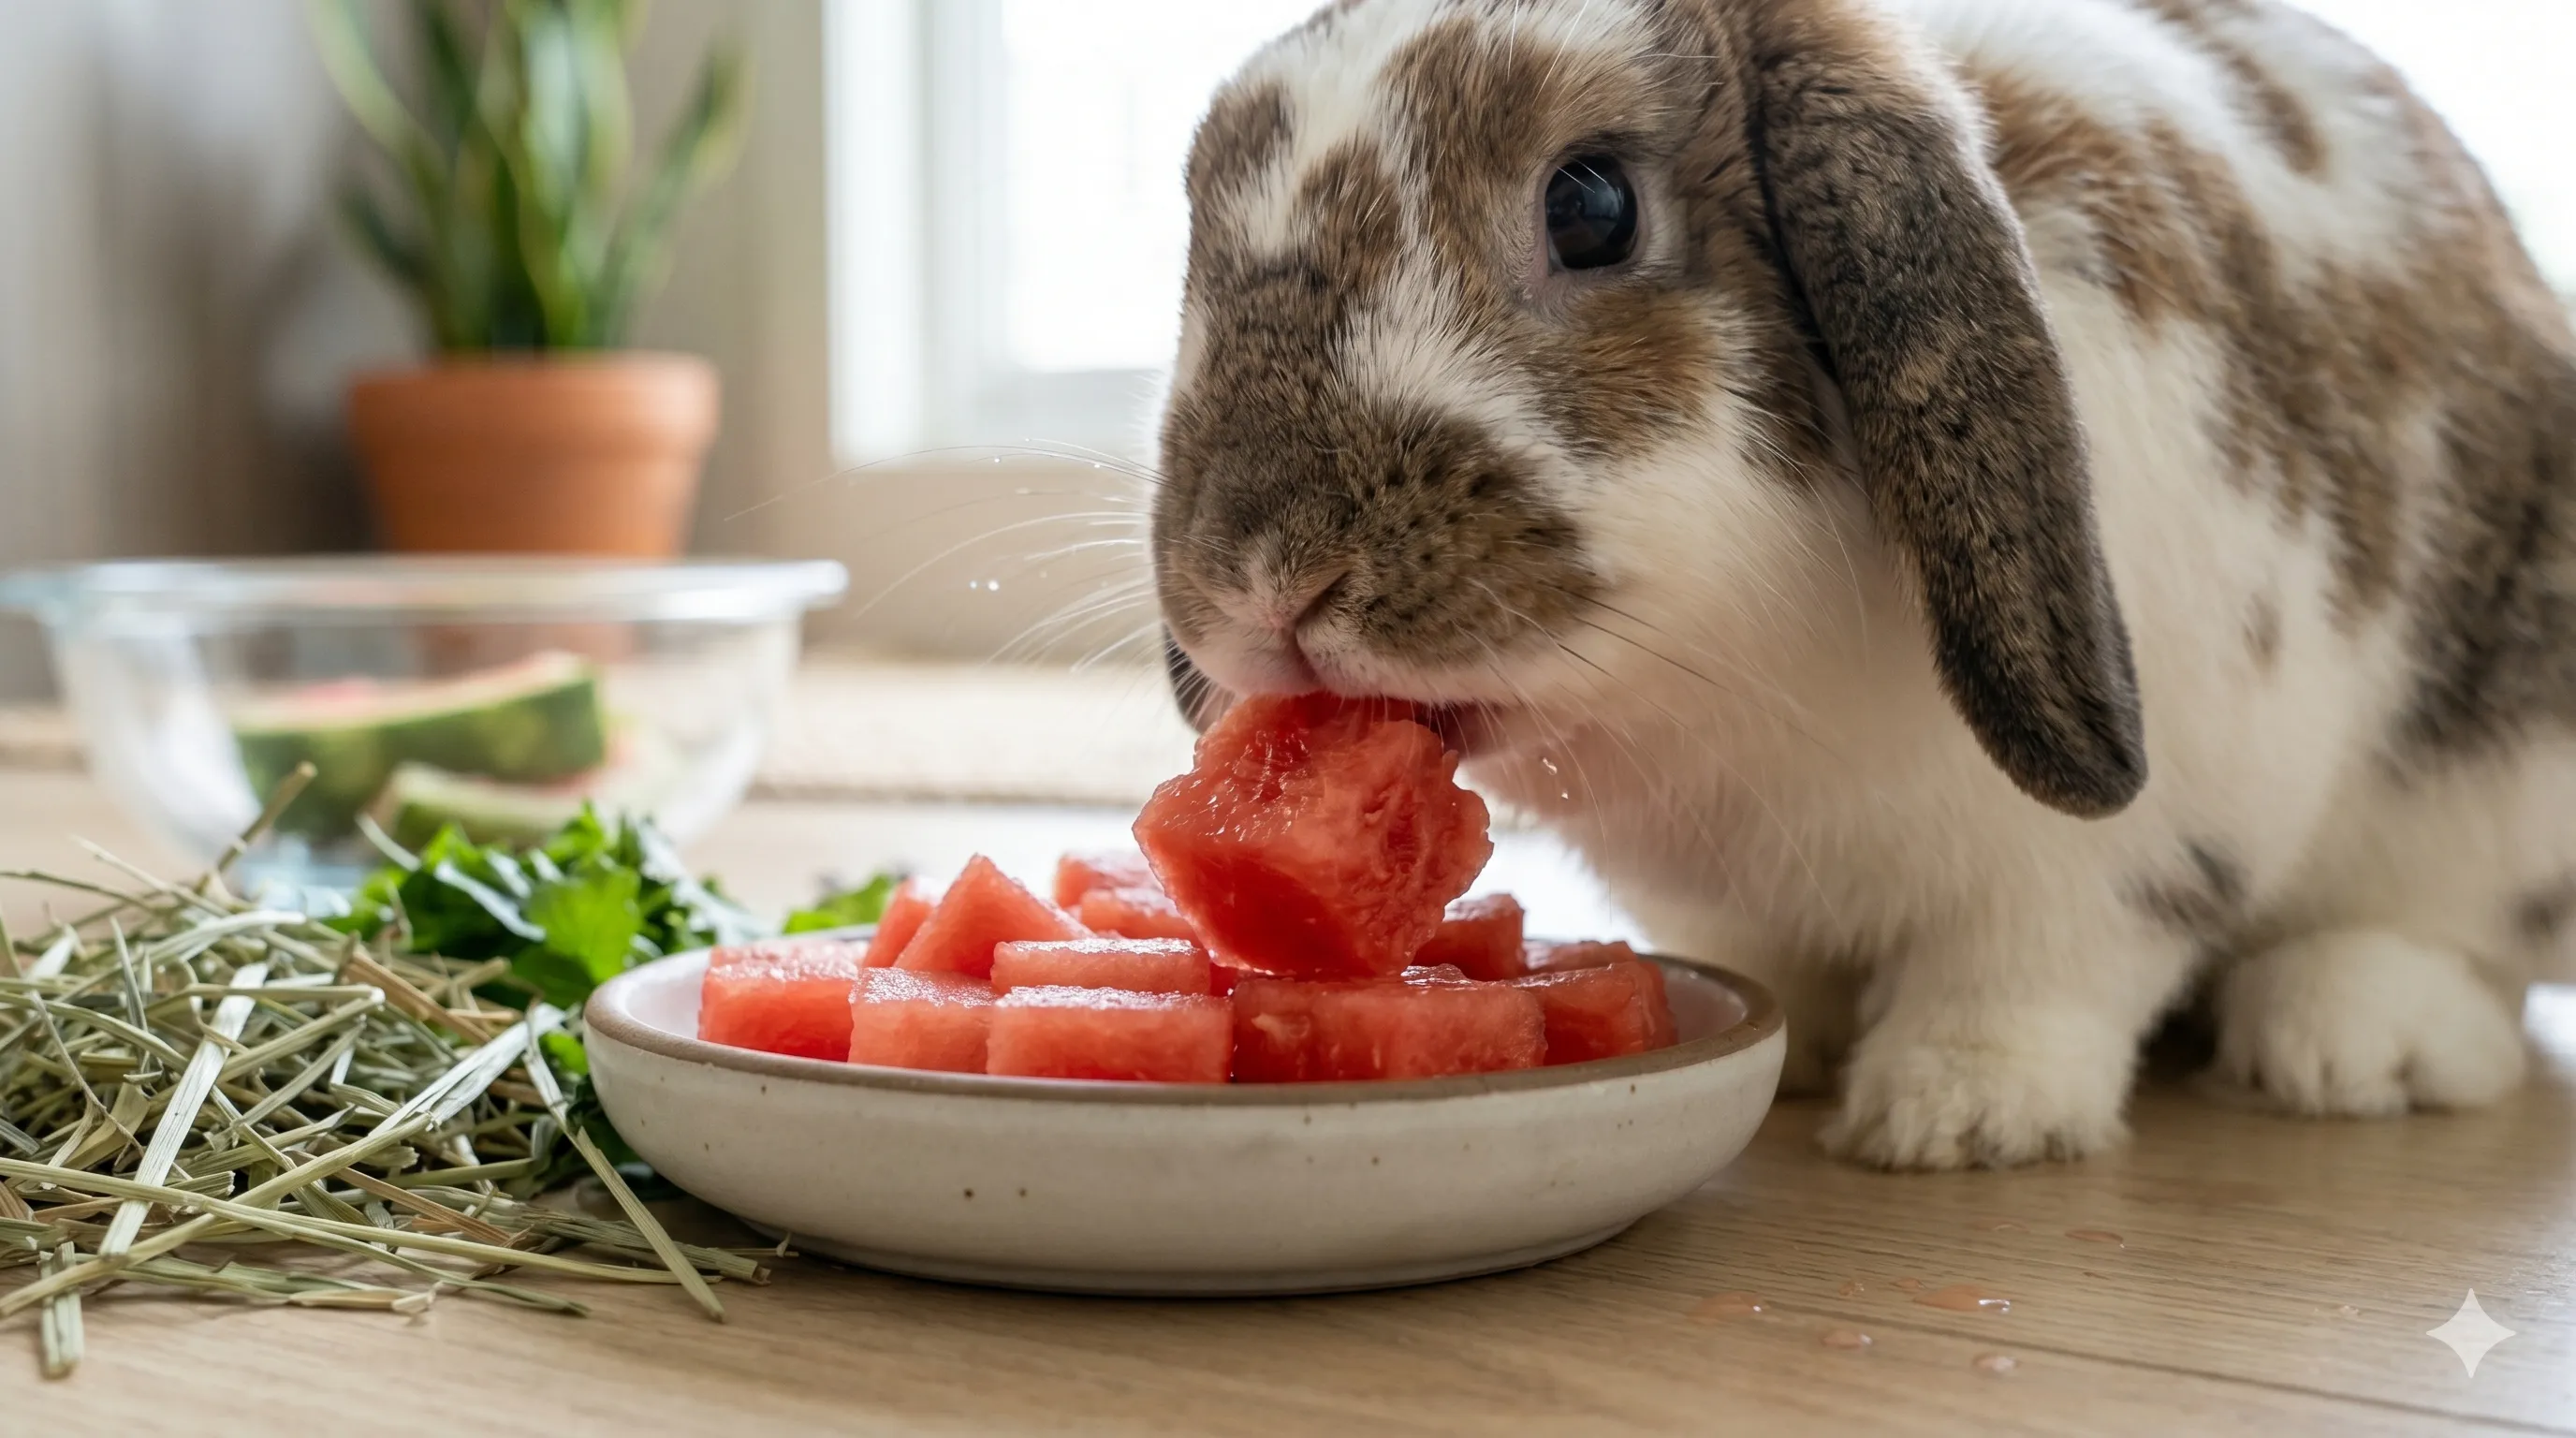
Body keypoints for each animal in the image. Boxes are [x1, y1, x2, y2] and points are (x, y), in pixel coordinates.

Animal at [1144, 0, 2576, 1168]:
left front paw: (1960, 1113)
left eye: (1592, 207)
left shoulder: (2121, 842)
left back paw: (2348, 1039)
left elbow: (2037, 970)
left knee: (2475, 950)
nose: (1265, 577)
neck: (1736, 682)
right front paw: (1804, 1054)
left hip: (2503, 755)